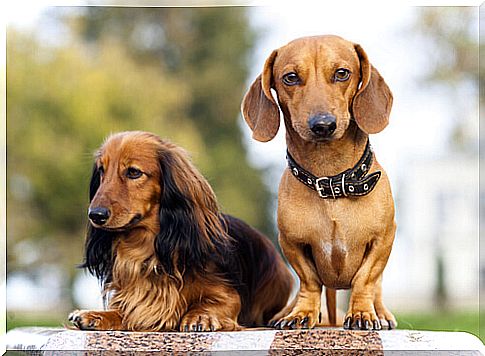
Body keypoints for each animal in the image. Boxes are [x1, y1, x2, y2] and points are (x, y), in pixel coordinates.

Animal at [66, 131, 290, 330]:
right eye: (101, 171)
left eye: (134, 172)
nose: (95, 215)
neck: (147, 250)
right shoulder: (134, 300)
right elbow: (123, 309)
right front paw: (94, 315)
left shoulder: (229, 293)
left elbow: (215, 301)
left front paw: (201, 316)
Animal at [242, 35, 398, 330]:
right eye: (291, 78)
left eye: (342, 73)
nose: (323, 125)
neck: (331, 183)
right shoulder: (291, 243)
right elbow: (310, 281)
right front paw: (302, 312)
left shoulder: (384, 239)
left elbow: (366, 279)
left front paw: (362, 312)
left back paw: (381, 312)